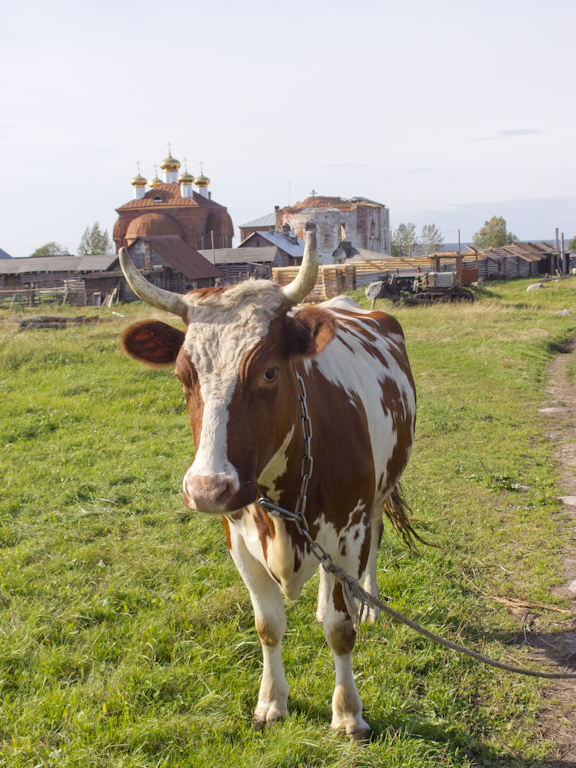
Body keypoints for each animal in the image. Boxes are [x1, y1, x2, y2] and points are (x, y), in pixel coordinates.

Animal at [118, 234, 414, 736]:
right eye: (182, 376)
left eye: (270, 372)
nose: (206, 489)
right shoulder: (237, 537)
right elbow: (268, 625)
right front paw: (272, 702)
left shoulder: (347, 532)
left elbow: (341, 631)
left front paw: (348, 713)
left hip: (379, 496)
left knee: (375, 542)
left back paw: (370, 603)